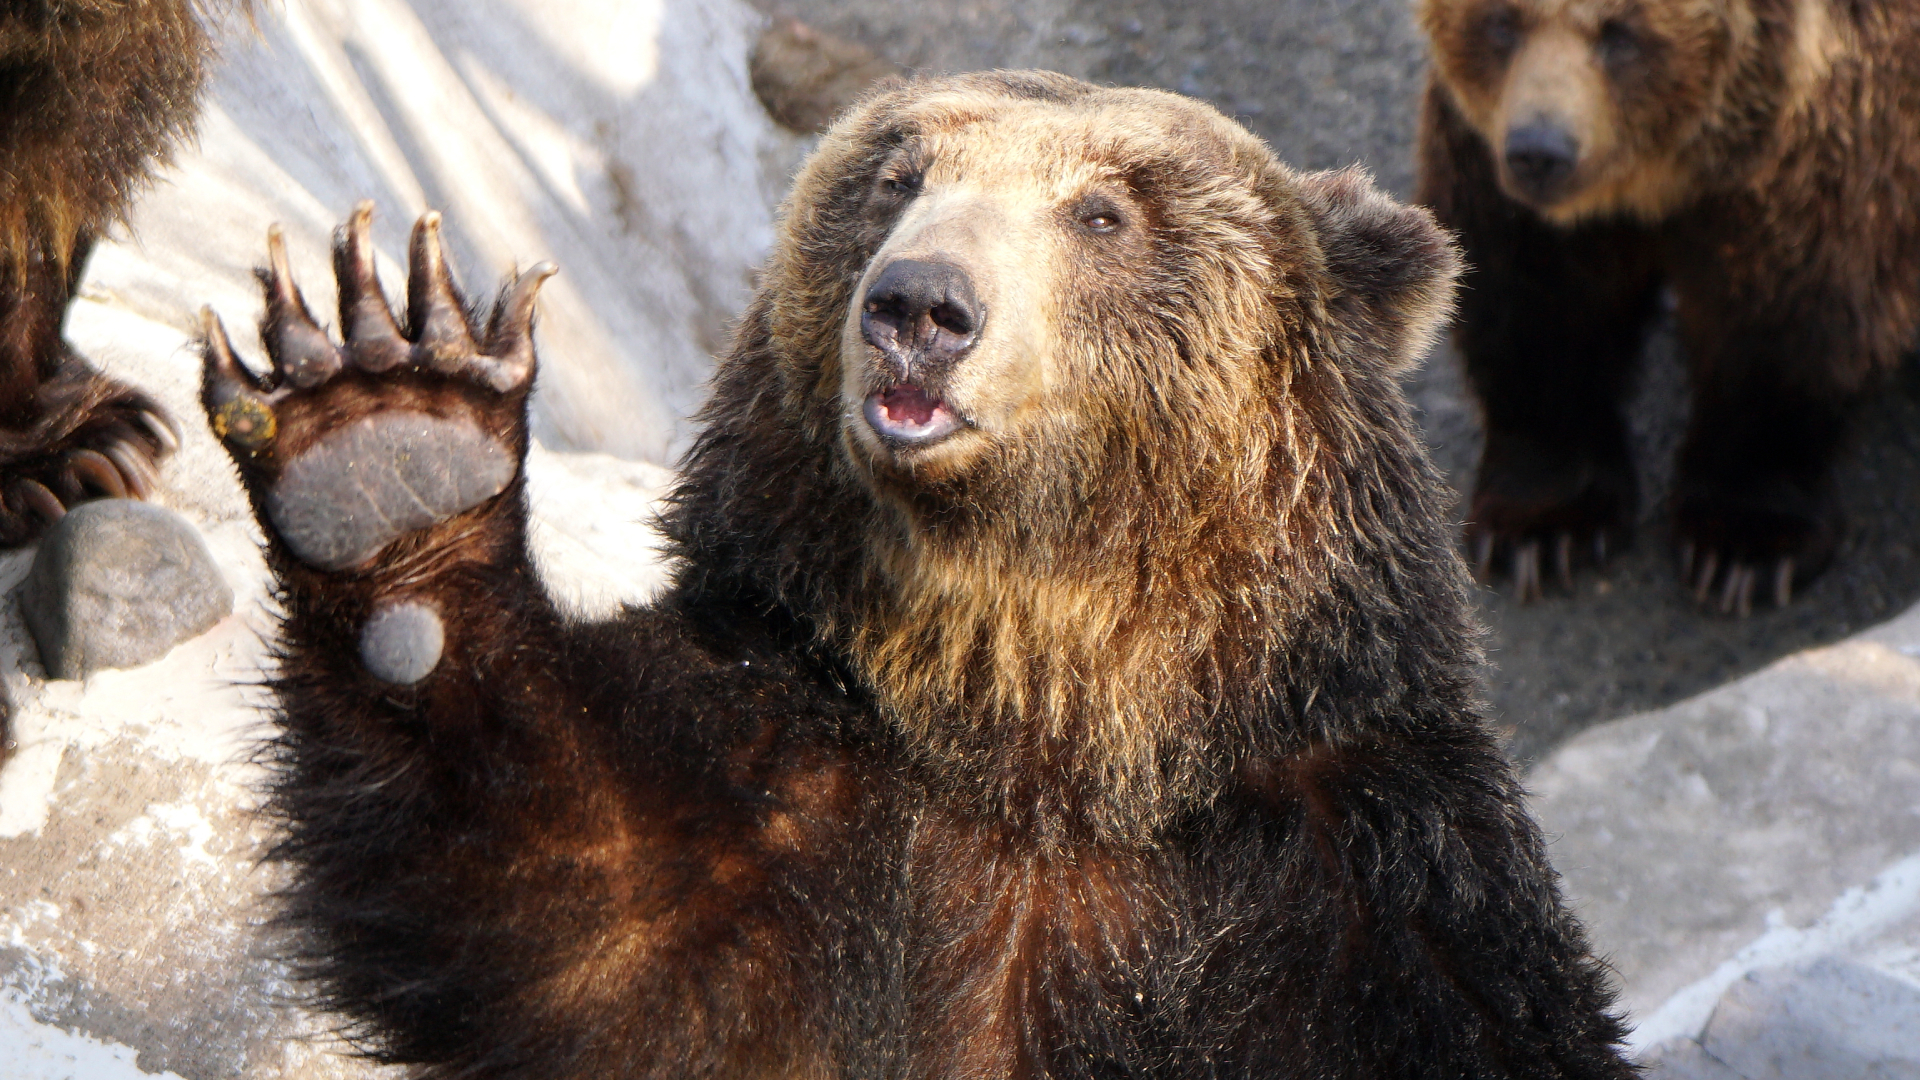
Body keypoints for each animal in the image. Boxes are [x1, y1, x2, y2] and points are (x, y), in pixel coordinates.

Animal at [201, 72, 1637, 1078]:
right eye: (897, 176)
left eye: (1104, 209)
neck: (1052, 735)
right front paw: (387, 442)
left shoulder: (1371, 903)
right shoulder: (785, 799)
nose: (920, 306)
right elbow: (561, 890)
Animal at [1416, 0, 1920, 612]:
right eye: (1501, 24)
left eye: (1620, 35)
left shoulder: (1829, 150)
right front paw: (1543, 529)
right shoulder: (1496, 172)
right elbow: (1534, 304)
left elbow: (1790, 317)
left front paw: (1743, 546)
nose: (1539, 152)